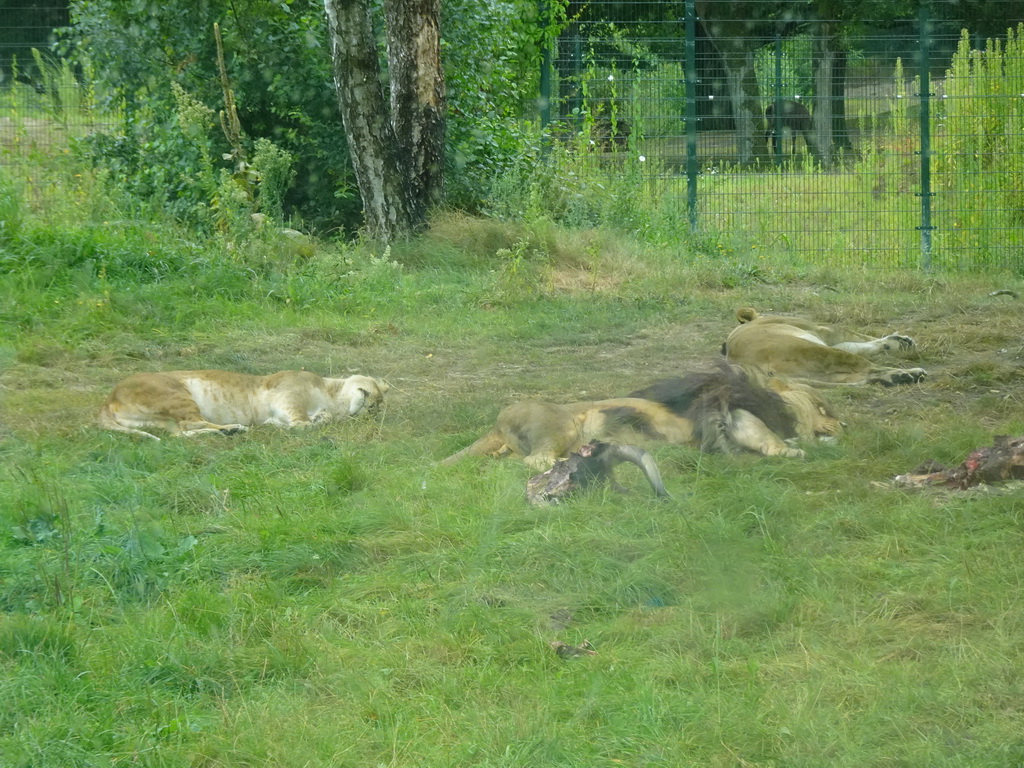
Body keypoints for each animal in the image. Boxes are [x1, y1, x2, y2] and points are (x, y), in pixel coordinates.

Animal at [440, 362, 839, 468]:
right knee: (536, 461)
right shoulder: (733, 410)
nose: (844, 424)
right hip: (559, 427)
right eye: (825, 407)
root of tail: (497, 421)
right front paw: (792, 450)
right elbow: (766, 436)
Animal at [720, 307, 929, 387]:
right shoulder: (823, 330)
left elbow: (860, 344)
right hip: (821, 352)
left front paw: (895, 343)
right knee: (870, 366)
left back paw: (897, 377)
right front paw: (901, 340)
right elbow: (856, 335)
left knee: (866, 373)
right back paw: (906, 373)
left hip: (829, 373)